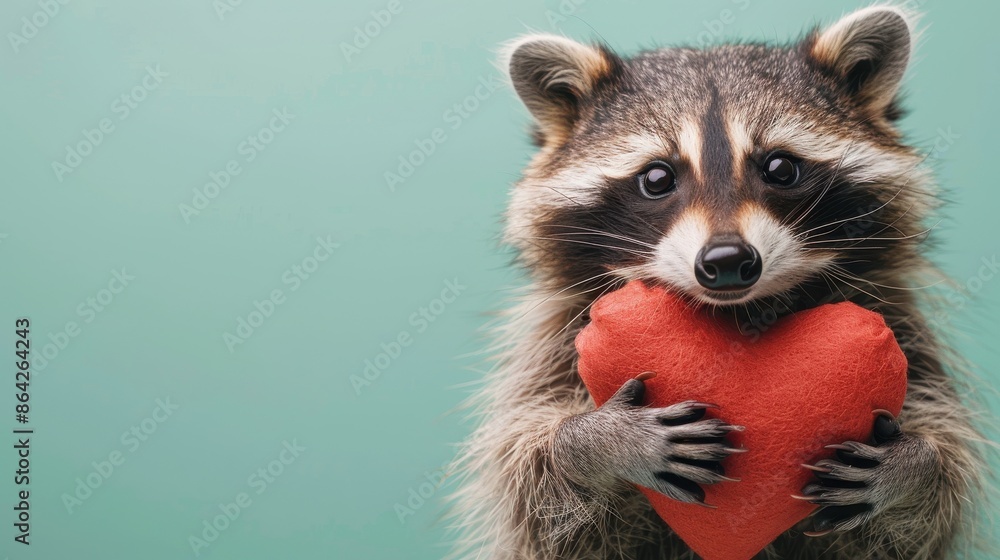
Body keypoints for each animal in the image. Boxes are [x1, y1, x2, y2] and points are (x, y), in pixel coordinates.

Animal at [449, 5, 985, 559]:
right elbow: (536, 493)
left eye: (780, 167)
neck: (737, 313)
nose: (727, 260)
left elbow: (924, 511)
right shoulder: (554, 338)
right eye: (657, 178)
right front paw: (592, 441)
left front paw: (916, 466)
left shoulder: (901, 324)